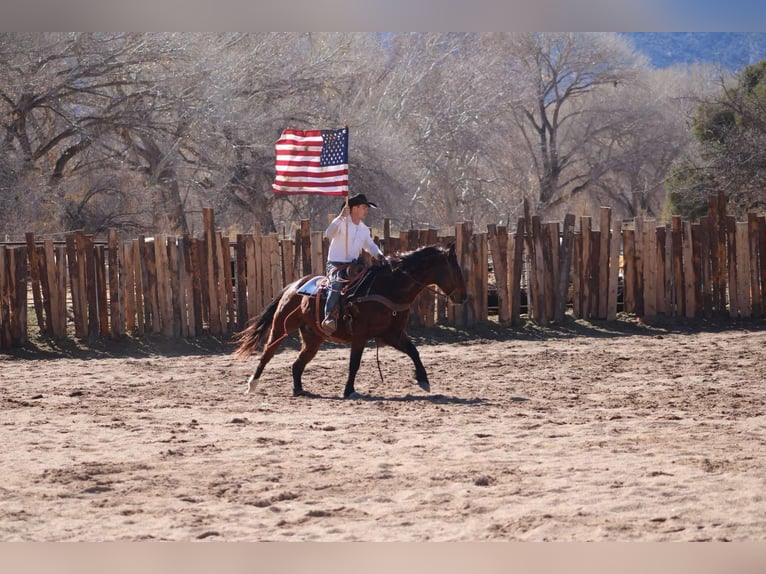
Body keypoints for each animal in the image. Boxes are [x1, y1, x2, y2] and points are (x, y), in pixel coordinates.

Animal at [232, 243, 468, 400]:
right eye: (455, 270)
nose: (463, 297)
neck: (388, 288)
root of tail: (293, 286)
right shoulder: (360, 335)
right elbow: (354, 363)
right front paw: (349, 390)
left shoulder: (392, 334)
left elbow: (414, 351)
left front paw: (424, 381)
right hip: (281, 326)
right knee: (267, 354)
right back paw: (252, 385)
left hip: (313, 338)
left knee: (297, 364)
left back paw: (299, 390)